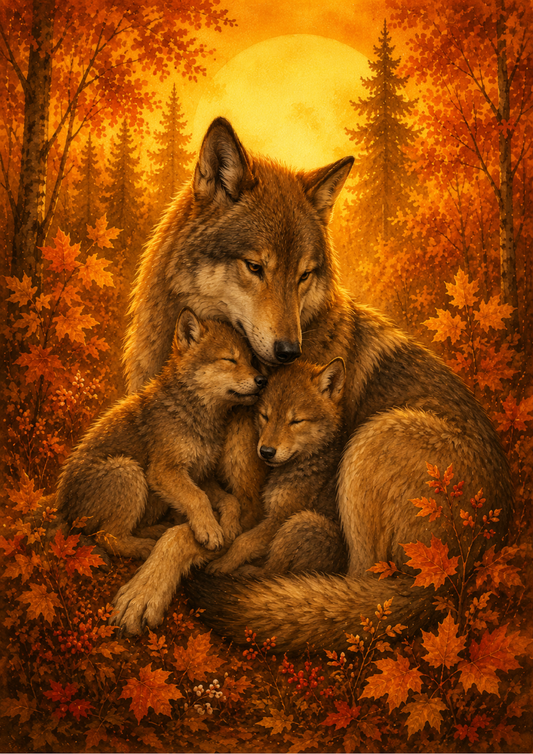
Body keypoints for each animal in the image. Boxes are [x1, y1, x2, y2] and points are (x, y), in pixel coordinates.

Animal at [57, 308, 267, 560]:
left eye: (251, 361)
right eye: (229, 359)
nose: (263, 380)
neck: (192, 411)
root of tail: (64, 511)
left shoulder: (200, 476)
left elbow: (230, 499)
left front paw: (230, 526)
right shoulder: (164, 472)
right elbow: (198, 499)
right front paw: (210, 531)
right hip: (129, 470)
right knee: (108, 537)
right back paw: (146, 546)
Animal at [111, 117, 512, 649]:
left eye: (303, 276)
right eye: (255, 267)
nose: (289, 352)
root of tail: (469, 567)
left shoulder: (252, 502)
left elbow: (194, 532)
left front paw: (146, 590)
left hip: (374, 440)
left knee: (361, 586)